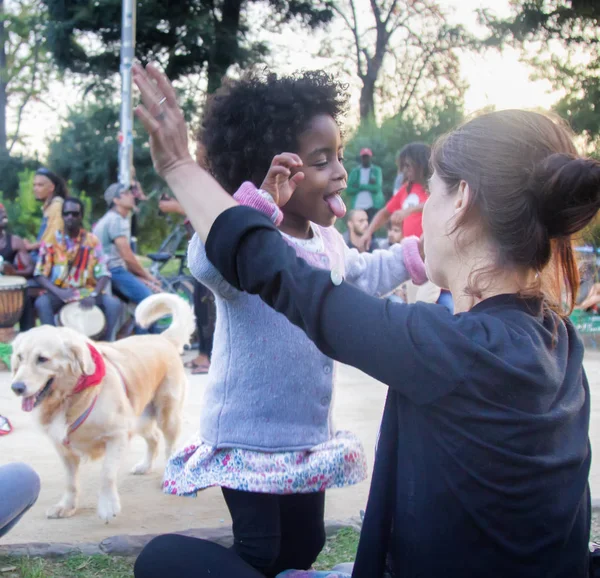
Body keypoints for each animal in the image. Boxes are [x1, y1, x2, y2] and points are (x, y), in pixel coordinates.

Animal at [9, 292, 195, 520]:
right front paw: (66, 506)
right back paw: (144, 465)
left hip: (166, 415)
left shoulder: (117, 435)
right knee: (154, 438)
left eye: (42, 359)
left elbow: (106, 474)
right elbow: (70, 482)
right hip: (139, 418)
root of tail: (162, 338)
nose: (16, 387)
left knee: (170, 446)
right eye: (19, 358)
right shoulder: (64, 449)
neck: (71, 399)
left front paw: (107, 506)